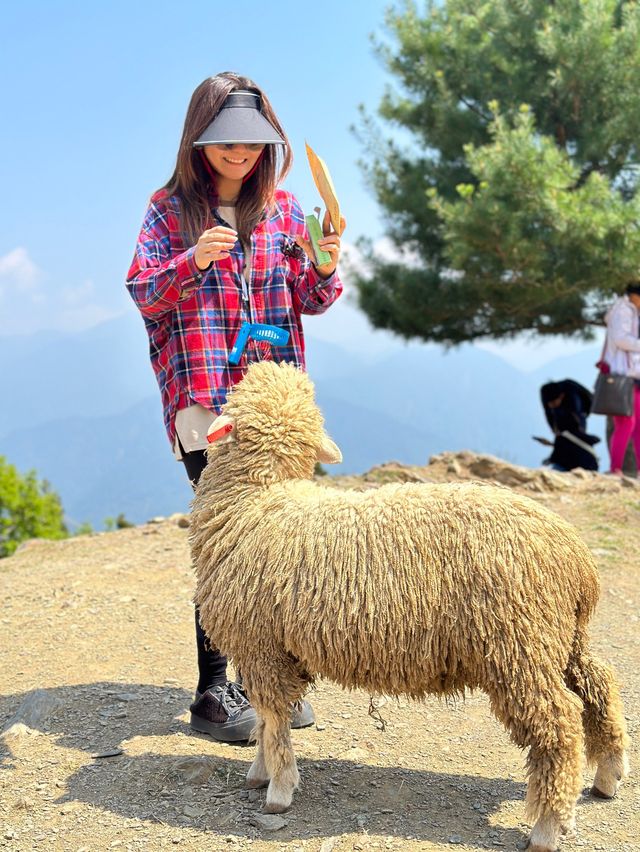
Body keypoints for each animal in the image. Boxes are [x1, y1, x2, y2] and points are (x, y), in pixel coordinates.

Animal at [191, 360, 632, 852]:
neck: (257, 502)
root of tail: (574, 554)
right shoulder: (268, 652)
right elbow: (269, 722)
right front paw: (260, 771)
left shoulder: (263, 648)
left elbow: (274, 720)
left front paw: (280, 788)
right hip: (558, 636)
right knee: (599, 683)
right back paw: (609, 774)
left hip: (519, 645)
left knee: (561, 722)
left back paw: (548, 826)